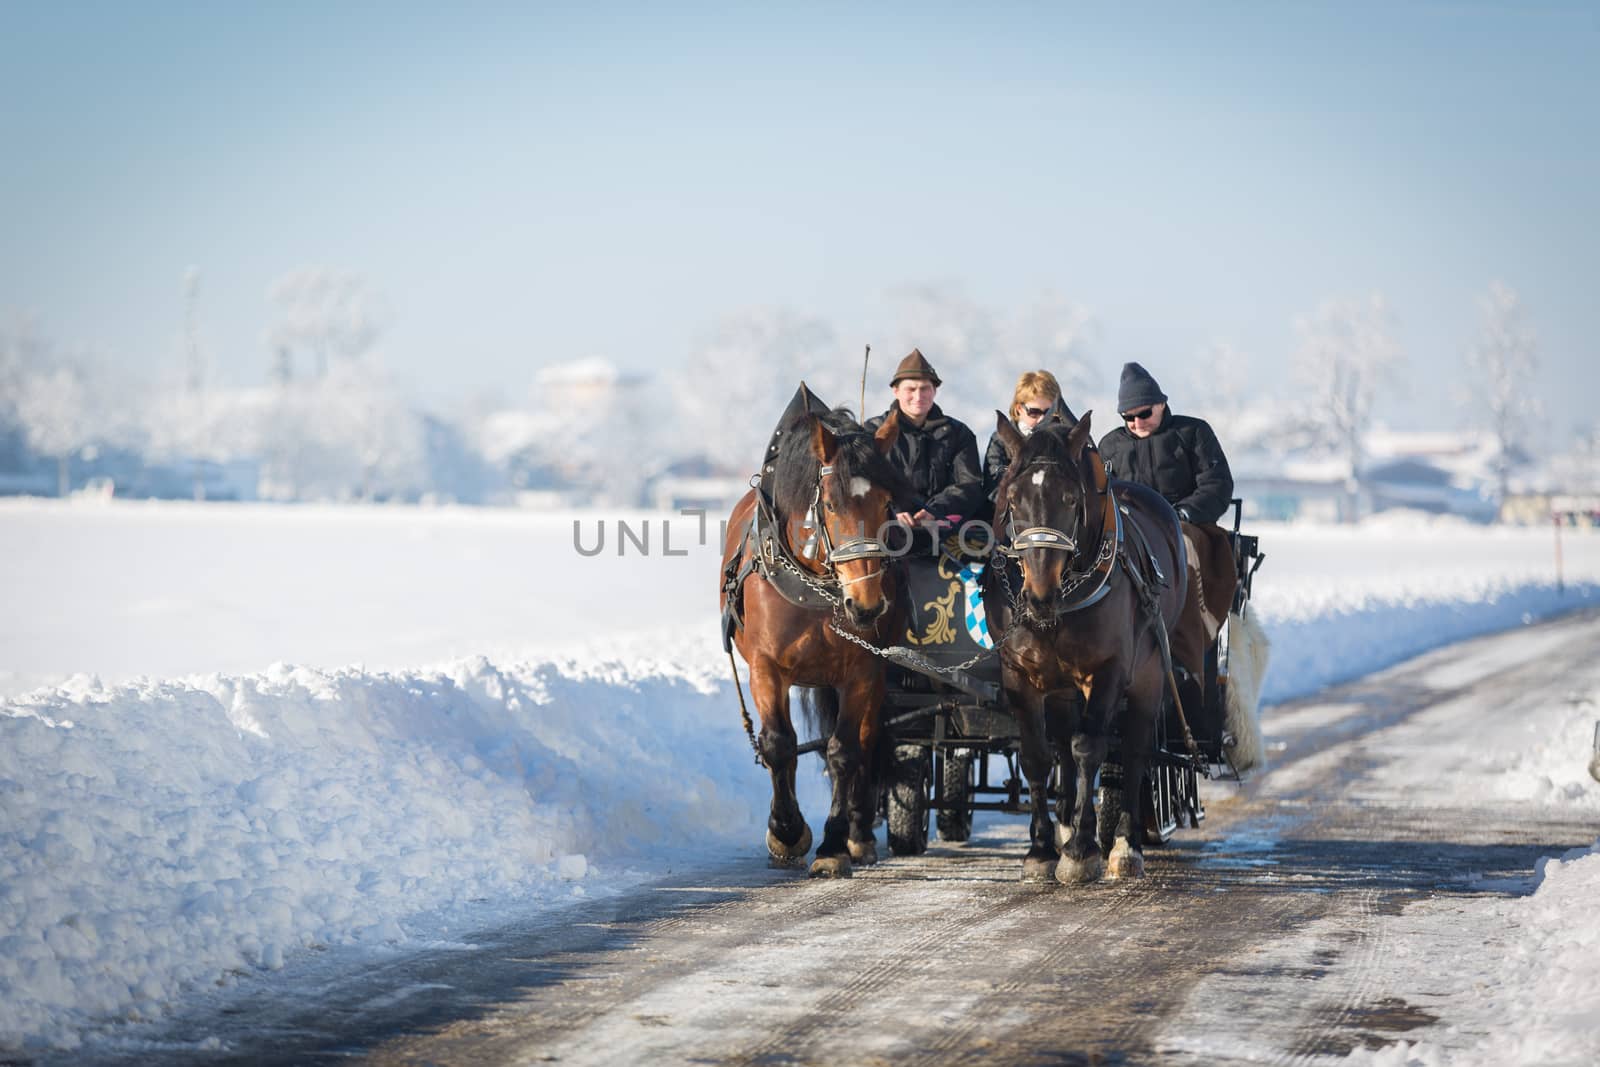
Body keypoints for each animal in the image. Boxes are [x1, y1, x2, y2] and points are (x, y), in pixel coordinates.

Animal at [716, 399, 908, 876]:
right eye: (832, 505)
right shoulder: (766, 666)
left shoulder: (862, 670)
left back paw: (860, 833)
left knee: (866, 741)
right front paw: (786, 831)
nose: (867, 606)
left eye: (887, 502)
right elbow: (778, 744)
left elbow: (844, 751)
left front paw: (834, 845)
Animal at [985, 409, 1190, 883]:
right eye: (1013, 499)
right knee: (1062, 744)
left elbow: (1090, 748)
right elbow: (1037, 755)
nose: (1039, 595)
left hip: (1149, 671)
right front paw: (1041, 850)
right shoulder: (1018, 673)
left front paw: (1081, 850)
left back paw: (1124, 845)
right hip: (1061, 685)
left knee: (1132, 748)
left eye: (1070, 498)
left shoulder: (1110, 668)